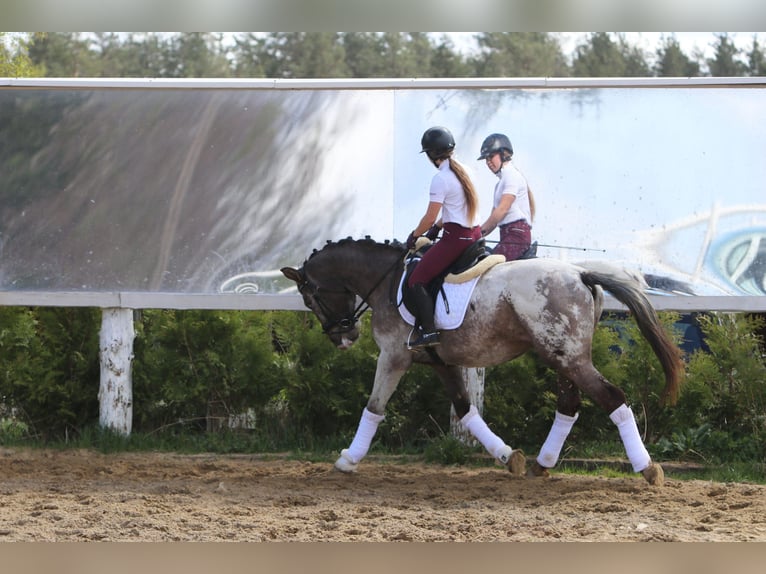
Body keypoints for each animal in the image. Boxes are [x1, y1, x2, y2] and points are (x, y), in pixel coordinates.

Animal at [280, 237, 684, 486]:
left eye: (309, 298)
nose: (343, 337)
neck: (388, 281)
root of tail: (580, 273)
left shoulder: (394, 356)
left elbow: (374, 407)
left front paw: (348, 459)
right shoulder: (440, 362)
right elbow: (465, 410)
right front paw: (507, 456)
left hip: (568, 358)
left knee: (612, 398)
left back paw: (648, 469)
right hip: (562, 358)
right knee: (569, 405)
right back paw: (541, 465)